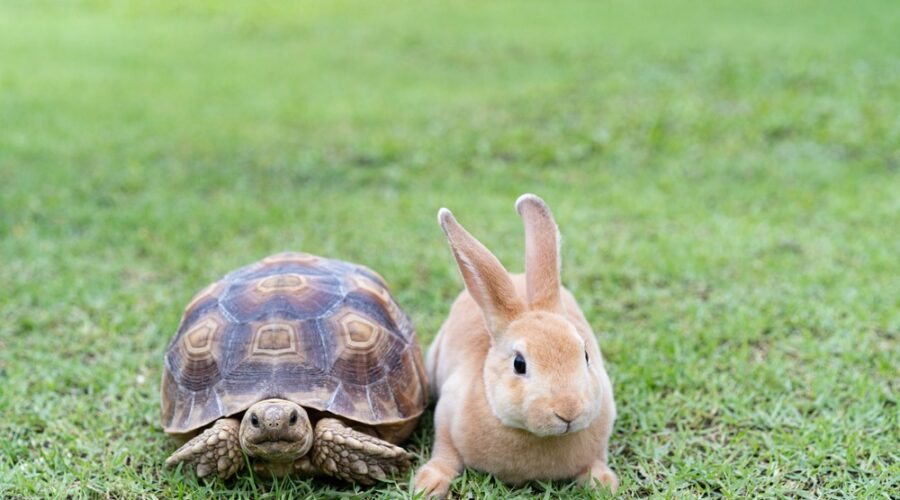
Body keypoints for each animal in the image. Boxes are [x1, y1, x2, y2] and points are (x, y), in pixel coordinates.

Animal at [413, 194, 618, 498]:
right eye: (519, 364)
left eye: (585, 354)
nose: (568, 411)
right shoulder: (446, 418)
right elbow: (445, 454)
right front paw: (427, 486)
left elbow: (596, 460)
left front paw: (604, 484)